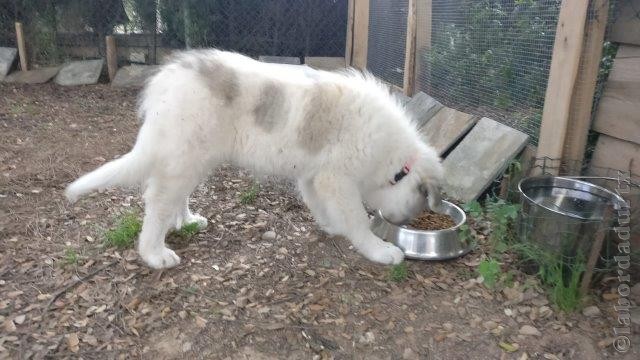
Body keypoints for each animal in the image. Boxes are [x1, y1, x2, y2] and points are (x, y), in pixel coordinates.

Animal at [66, 49, 444, 268]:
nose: (401, 221)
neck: (394, 157)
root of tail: (164, 82)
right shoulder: (337, 178)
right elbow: (357, 219)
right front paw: (379, 249)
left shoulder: (314, 176)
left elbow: (321, 206)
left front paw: (331, 225)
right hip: (187, 153)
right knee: (158, 201)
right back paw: (154, 254)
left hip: (193, 157)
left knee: (173, 196)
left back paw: (186, 221)